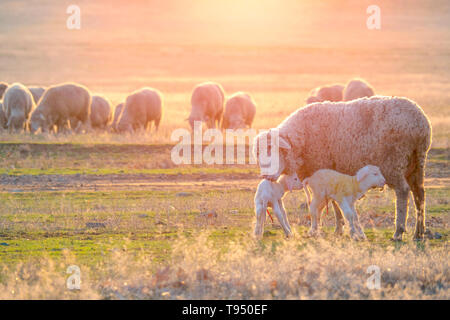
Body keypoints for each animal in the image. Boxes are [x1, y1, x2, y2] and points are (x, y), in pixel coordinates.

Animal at [253, 96, 432, 241]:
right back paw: (419, 232)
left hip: (394, 163)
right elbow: (333, 202)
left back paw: (399, 231)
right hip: (417, 162)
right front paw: (339, 228)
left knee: (403, 191)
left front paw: (318, 229)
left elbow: (323, 205)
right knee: (420, 194)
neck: (301, 140)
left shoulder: (322, 171)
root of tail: (420, 124)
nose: (266, 177)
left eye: (273, 150)